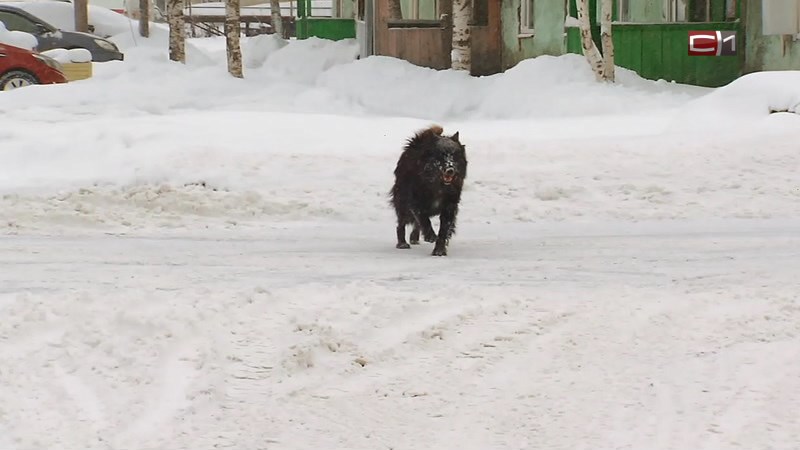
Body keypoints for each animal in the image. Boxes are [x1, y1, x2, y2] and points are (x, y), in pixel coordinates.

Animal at [390, 125, 466, 256]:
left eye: (455, 155)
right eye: (441, 155)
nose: (450, 169)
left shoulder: (449, 205)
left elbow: (444, 229)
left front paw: (439, 250)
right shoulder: (416, 201)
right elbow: (424, 220)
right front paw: (430, 236)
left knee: (415, 224)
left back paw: (414, 238)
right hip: (402, 202)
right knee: (401, 224)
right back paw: (402, 243)